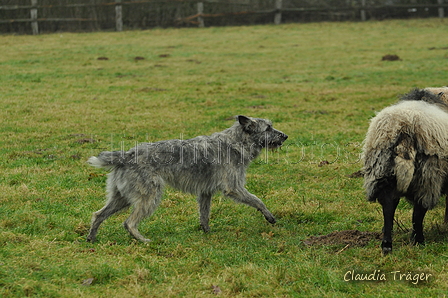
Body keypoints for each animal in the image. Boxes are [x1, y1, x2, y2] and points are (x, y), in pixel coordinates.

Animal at [86, 114, 288, 242]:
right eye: (268, 128)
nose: (285, 136)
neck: (235, 142)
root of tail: (127, 155)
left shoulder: (205, 192)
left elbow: (204, 215)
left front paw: (207, 233)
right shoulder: (234, 188)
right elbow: (258, 200)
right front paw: (269, 216)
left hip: (121, 198)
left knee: (98, 215)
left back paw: (91, 238)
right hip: (149, 197)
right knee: (129, 223)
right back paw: (142, 240)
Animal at [362, 87, 448, 255]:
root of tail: (403, 126)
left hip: (383, 171)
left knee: (388, 205)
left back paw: (387, 244)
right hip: (427, 176)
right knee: (418, 212)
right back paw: (418, 240)